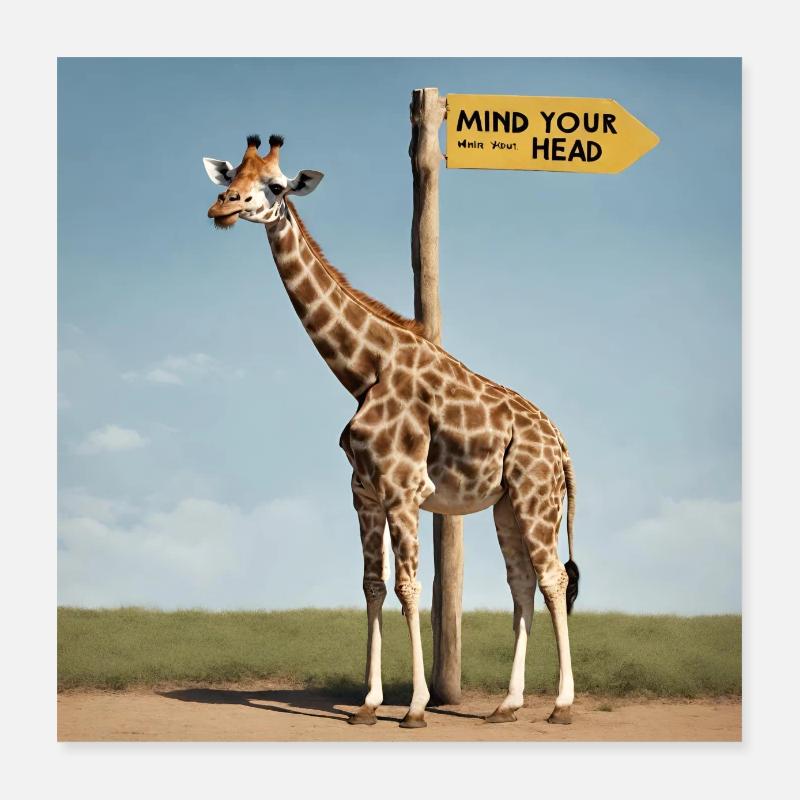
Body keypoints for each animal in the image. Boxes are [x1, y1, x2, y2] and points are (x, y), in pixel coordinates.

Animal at [203, 134, 580, 728]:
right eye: (231, 177)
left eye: (277, 186)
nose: (222, 207)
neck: (363, 370)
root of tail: (561, 441)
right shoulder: (363, 492)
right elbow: (372, 586)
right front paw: (368, 703)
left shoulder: (404, 489)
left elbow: (409, 586)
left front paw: (416, 707)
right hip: (504, 503)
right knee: (521, 584)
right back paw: (508, 704)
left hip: (537, 495)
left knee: (553, 579)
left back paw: (561, 705)